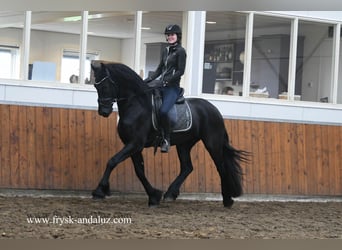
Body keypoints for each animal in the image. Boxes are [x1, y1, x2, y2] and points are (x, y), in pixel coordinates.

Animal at [90, 60, 246, 207]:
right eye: (96, 87)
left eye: (105, 87)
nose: (104, 112)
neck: (136, 104)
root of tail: (214, 109)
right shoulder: (132, 145)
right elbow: (139, 171)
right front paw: (154, 196)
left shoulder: (135, 143)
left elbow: (113, 161)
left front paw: (99, 190)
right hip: (184, 144)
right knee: (187, 167)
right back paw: (170, 193)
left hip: (212, 143)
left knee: (221, 168)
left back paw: (227, 199)